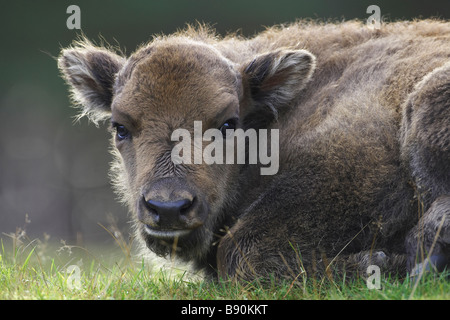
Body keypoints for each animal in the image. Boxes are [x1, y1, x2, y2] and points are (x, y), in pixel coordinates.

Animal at [59, 20, 450, 282]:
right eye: (120, 127)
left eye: (228, 123)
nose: (167, 208)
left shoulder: (352, 168)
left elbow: (238, 251)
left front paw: (383, 263)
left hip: (427, 99)